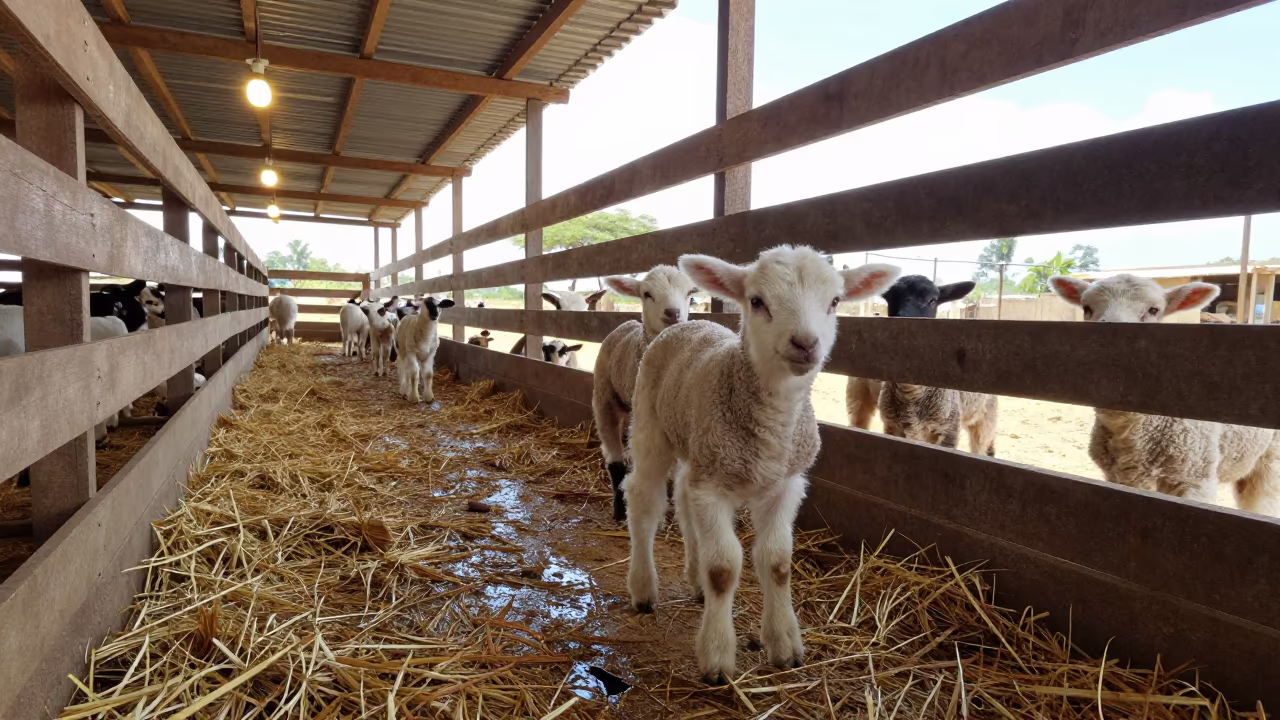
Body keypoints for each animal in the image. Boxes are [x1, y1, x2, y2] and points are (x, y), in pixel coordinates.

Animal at [592, 265, 697, 520]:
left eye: (690, 293)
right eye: (647, 294)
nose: (673, 313)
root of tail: (628, 323)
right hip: (604, 394)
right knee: (615, 455)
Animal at [623, 247, 899, 683]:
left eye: (835, 301)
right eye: (756, 301)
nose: (805, 343)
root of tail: (689, 323)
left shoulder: (785, 484)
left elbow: (778, 562)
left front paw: (784, 644)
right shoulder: (713, 487)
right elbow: (724, 568)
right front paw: (717, 657)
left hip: (697, 445)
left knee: (683, 499)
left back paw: (694, 580)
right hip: (652, 423)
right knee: (645, 501)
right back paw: (643, 588)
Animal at [857, 276, 999, 455]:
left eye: (933, 300)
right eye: (890, 298)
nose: (904, 322)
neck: (911, 397)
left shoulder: (949, 432)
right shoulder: (892, 428)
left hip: (985, 419)